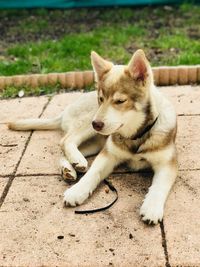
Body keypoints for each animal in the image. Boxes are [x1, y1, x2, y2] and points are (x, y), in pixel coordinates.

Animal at [8, 49, 177, 224]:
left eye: (120, 101)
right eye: (101, 99)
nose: (96, 124)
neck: (136, 135)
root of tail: (65, 111)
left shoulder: (167, 163)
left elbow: (159, 186)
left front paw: (152, 207)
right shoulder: (108, 154)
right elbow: (93, 172)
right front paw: (78, 190)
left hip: (96, 141)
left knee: (65, 149)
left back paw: (70, 168)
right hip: (88, 124)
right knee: (66, 140)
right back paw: (77, 162)